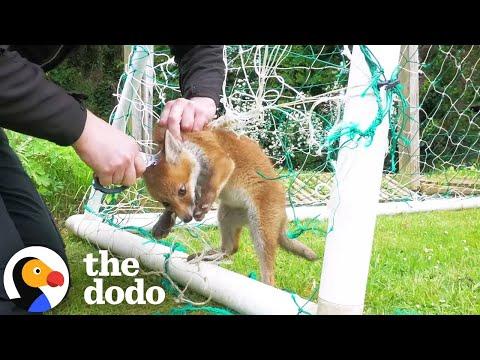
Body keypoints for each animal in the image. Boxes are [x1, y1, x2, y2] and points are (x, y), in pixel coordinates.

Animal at [142, 124, 316, 286]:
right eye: (166, 203)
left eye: (182, 191)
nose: (187, 219)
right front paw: (163, 223)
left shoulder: (221, 160)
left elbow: (212, 186)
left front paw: (203, 205)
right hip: (225, 217)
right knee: (231, 249)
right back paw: (206, 256)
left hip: (260, 231)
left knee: (268, 276)